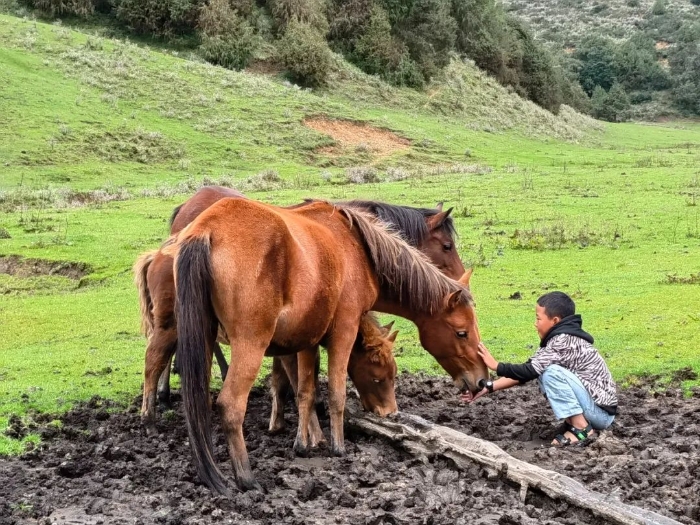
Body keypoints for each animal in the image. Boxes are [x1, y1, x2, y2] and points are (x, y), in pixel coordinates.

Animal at [170, 199, 486, 494]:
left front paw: (304, 443)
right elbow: (336, 392)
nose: (482, 379)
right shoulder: (344, 330)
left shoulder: (307, 340)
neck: (358, 247)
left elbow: (305, 392)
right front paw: (337, 446)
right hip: (250, 346)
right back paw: (246, 479)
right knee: (231, 405)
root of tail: (207, 229)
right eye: (462, 333)